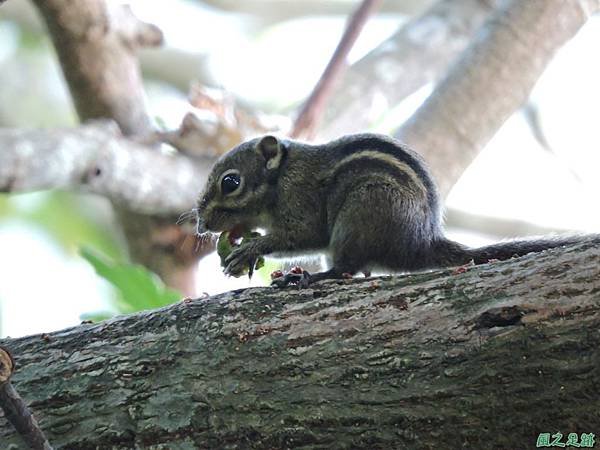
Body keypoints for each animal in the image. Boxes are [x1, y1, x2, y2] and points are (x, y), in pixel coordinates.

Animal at [196, 134, 584, 286]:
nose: (200, 224)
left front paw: (251, 248)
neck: (281, 177)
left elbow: (304, 234)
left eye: (230, 182)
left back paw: (311, 277)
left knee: (346, 268)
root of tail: (420, 243)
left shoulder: (300, 200)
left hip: (363, 209)